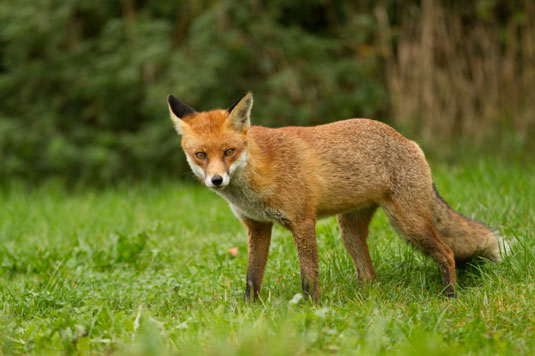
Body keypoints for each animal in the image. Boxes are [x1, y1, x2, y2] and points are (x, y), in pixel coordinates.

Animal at [166, 91, 506, 300]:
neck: (256, 177)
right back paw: (365, 303)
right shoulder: (258, 226)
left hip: (408, 224)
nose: (217, 180)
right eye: (200, 155)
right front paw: (250, 311)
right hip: (350, 231)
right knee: (369, 274)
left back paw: (449, 297)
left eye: (229, 151)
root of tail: (408, 140)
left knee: (446, 252)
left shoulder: (303, 221)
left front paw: (311, 309)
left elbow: (308, 276)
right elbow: (252, 277)